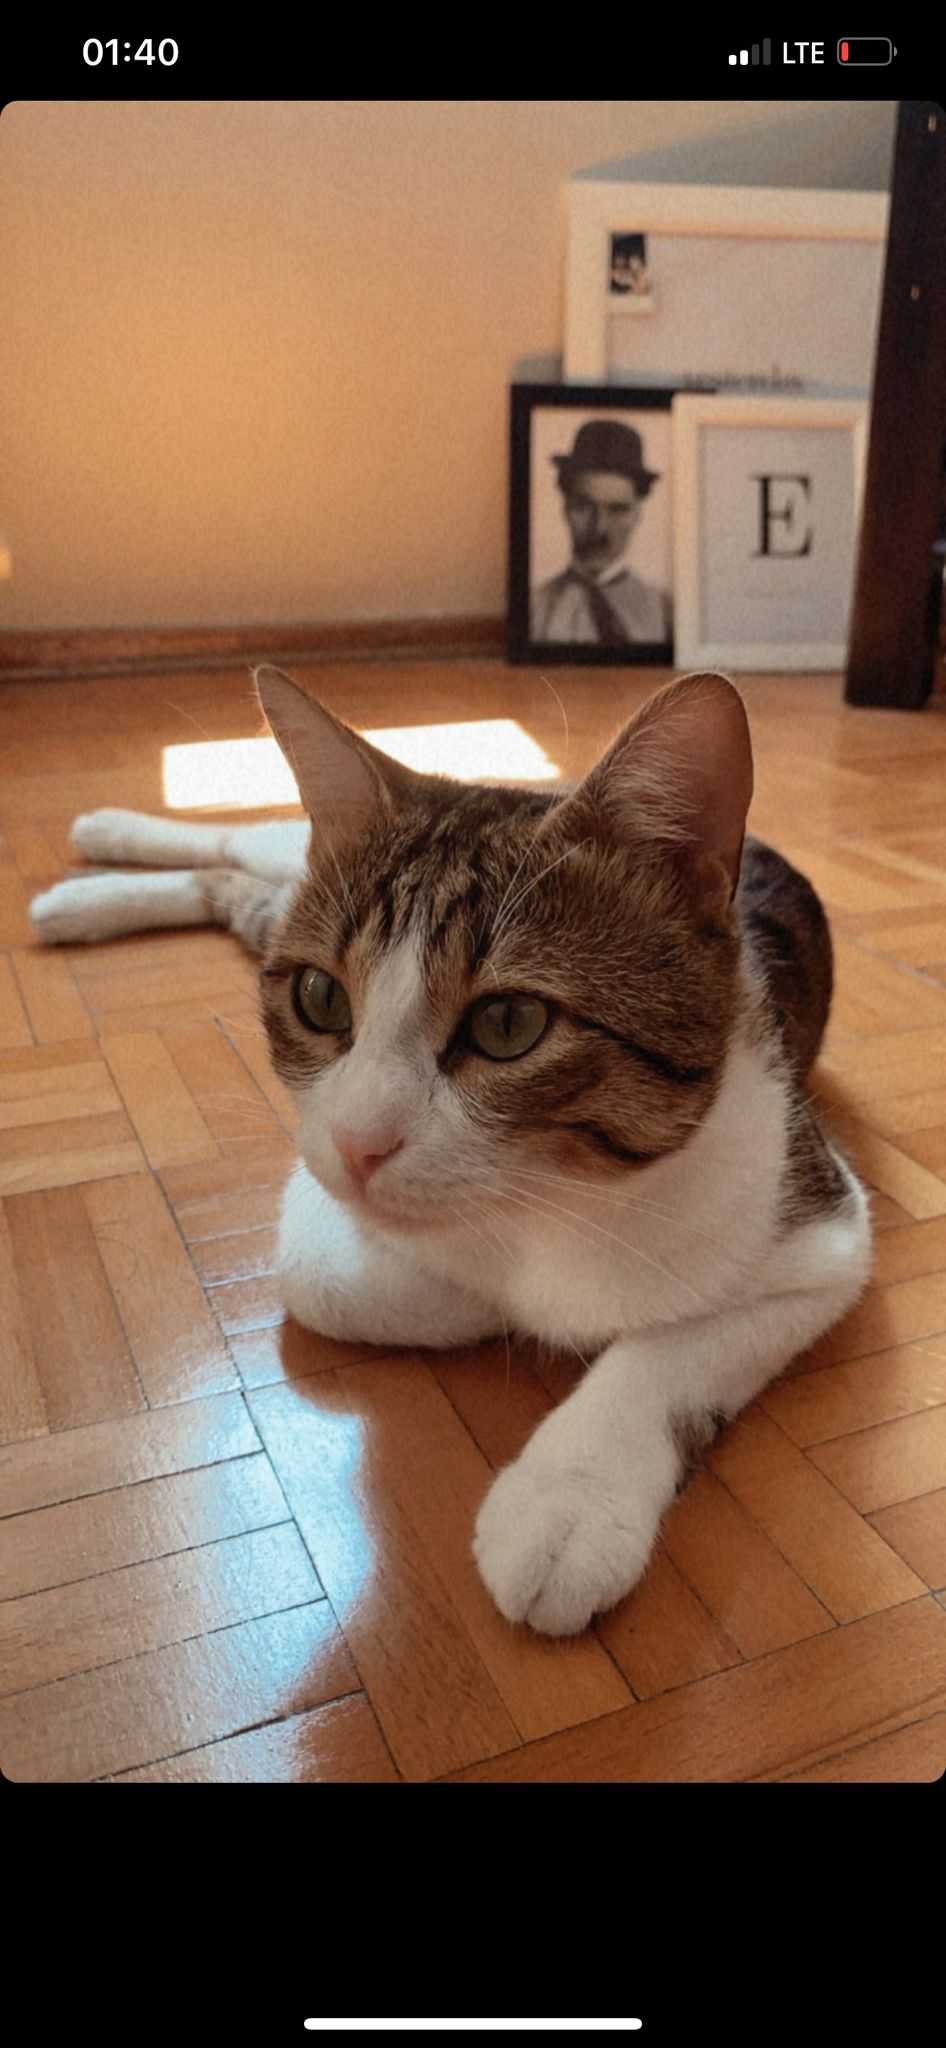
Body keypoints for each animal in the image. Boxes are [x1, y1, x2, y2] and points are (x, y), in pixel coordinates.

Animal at [30, 665, 871, 1636]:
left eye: (508, 1024)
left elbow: (677, 1344)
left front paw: (570, 1496)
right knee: (249, 842)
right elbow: (346, 1279)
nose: (359, 1144)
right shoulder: (316, 1184)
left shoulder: (816, 1224)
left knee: (243, 881)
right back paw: (97, 851)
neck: (564, 1192)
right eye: (321, 998)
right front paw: (509, 1304)